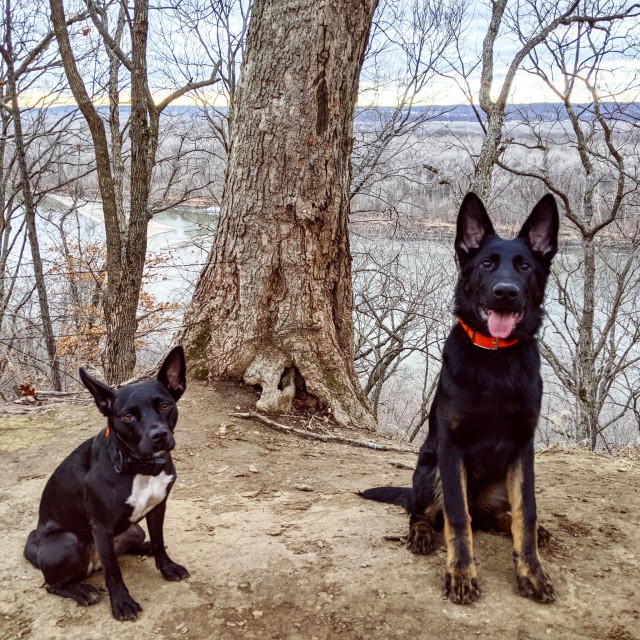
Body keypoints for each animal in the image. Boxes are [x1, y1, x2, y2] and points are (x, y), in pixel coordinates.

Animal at [25, 344, 190, 620]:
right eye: (128, 416)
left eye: (166, 406)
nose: (159, 435)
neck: (138, 467)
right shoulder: (101, 527)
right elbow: (114, 572)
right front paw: (122, 603)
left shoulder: (158, 507)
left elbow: (159, 541)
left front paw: (167, 567)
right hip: (69, 542)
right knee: (52, 584)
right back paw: (82, 591)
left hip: (133, 529)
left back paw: (144, 547)